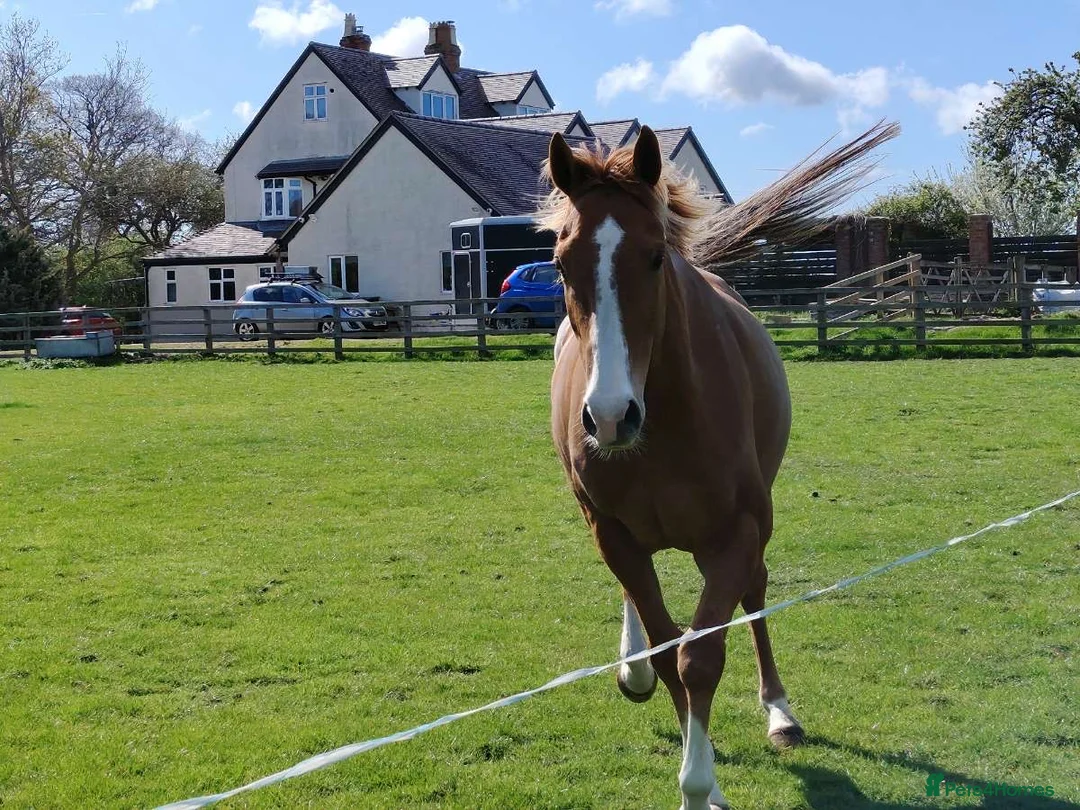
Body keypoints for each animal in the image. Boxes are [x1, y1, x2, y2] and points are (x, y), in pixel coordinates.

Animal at [541, 121, 898, 810]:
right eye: (561, 262)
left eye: (655, 256)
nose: (610, 416)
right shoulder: (613, 533)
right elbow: (666, 652)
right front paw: (697, 774)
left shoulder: (736, 533)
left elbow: (699, 657)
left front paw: (700, 783)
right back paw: (630, 668)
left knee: (753, 597)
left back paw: (780, 712)